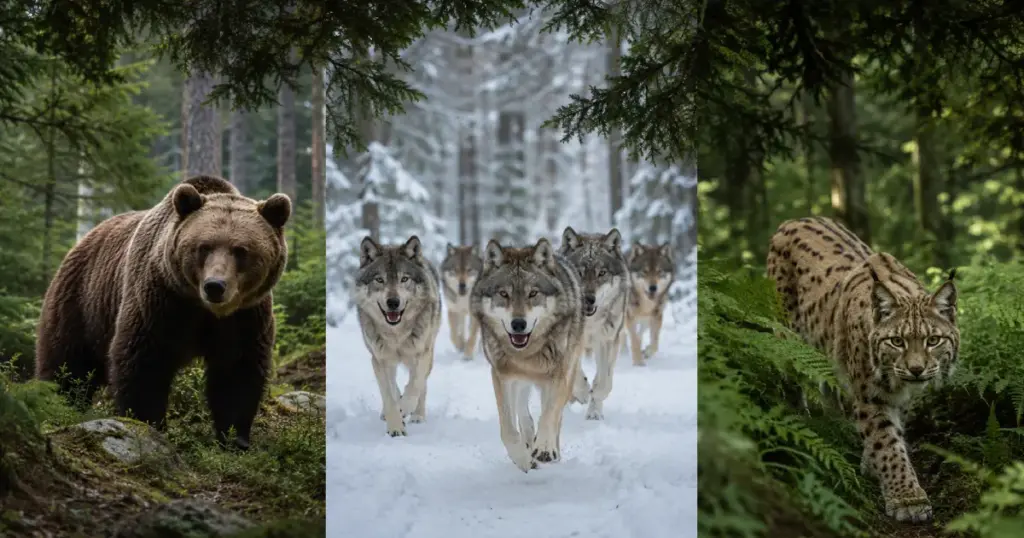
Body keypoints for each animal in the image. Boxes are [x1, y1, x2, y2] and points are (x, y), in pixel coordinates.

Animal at [35, 175, 291, 450]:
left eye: (241, 250)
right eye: (204, 247)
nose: (215, 286)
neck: (203, 309)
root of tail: (85, 238)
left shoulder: (245, 316)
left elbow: (237, 370)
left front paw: (235, 438)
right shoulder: (160, 300)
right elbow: (144, 361)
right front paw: (148, 423)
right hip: (82, 302)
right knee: (66, 362)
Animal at [355, 235, 442, 437]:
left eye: (404, 279)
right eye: (379, 280)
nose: (393, 302)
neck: (397, 334)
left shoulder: (422, 354)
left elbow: (415, 385)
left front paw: (406, 408)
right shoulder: (379, 359)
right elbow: (388, 394)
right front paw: (395, 427)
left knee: (421, 385)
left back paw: (417, 416)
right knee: (393, 385)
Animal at [470, 237, 586, 472]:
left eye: (533, 293)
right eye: (504, 294)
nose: (518, 324)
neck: (527, 353)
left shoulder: (558, 375)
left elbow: (549, 415)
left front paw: (544, 448)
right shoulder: (502, 376)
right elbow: (507, 429)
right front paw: (523, 459)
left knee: (554, 416)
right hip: (519, 381)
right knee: (523, 412)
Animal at [559, 226, 629, 420]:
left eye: (602, 273)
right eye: (579, 272)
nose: (588, 299)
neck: (589, 324)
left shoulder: (607, 340)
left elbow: (604, 381)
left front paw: (595, 409)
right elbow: (576, 375)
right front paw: (582, 392)